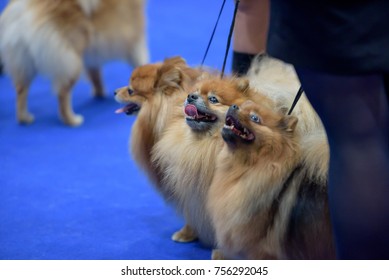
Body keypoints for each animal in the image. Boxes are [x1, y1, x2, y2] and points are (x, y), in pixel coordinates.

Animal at [149, 75, 272, 248]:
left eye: (213, 99)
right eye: (195, 92)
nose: (191, 97)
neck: (204, 145)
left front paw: (220, 251)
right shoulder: (193, 189)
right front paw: (187, 233)